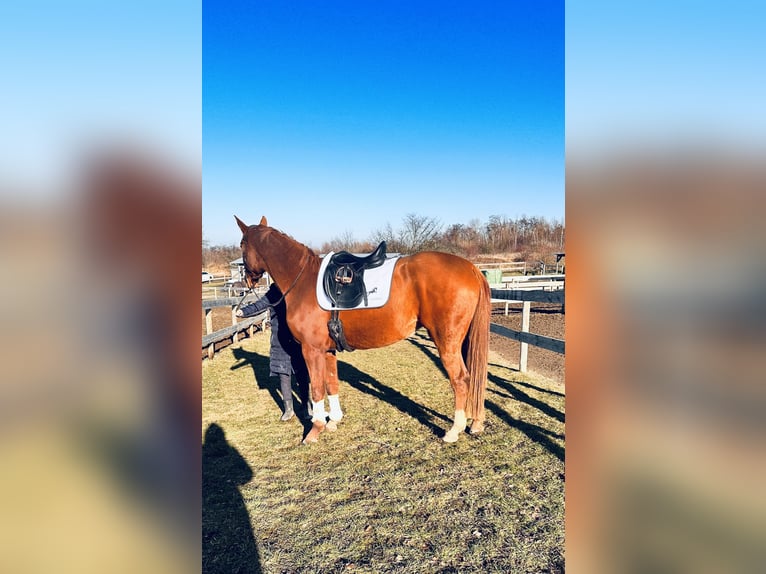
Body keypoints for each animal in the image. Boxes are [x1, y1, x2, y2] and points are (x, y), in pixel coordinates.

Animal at [236, 217, 492, 446]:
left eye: (241, 245)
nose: (246, 281)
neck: (303, 279)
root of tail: (471, 268)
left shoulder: (311, 350)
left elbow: (317, 388)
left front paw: (315, 430)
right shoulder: (327, 351)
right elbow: (332, 383)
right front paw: (334, 421)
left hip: (446, 341)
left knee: (460, 379)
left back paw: (454, 430)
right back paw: (475, 422)